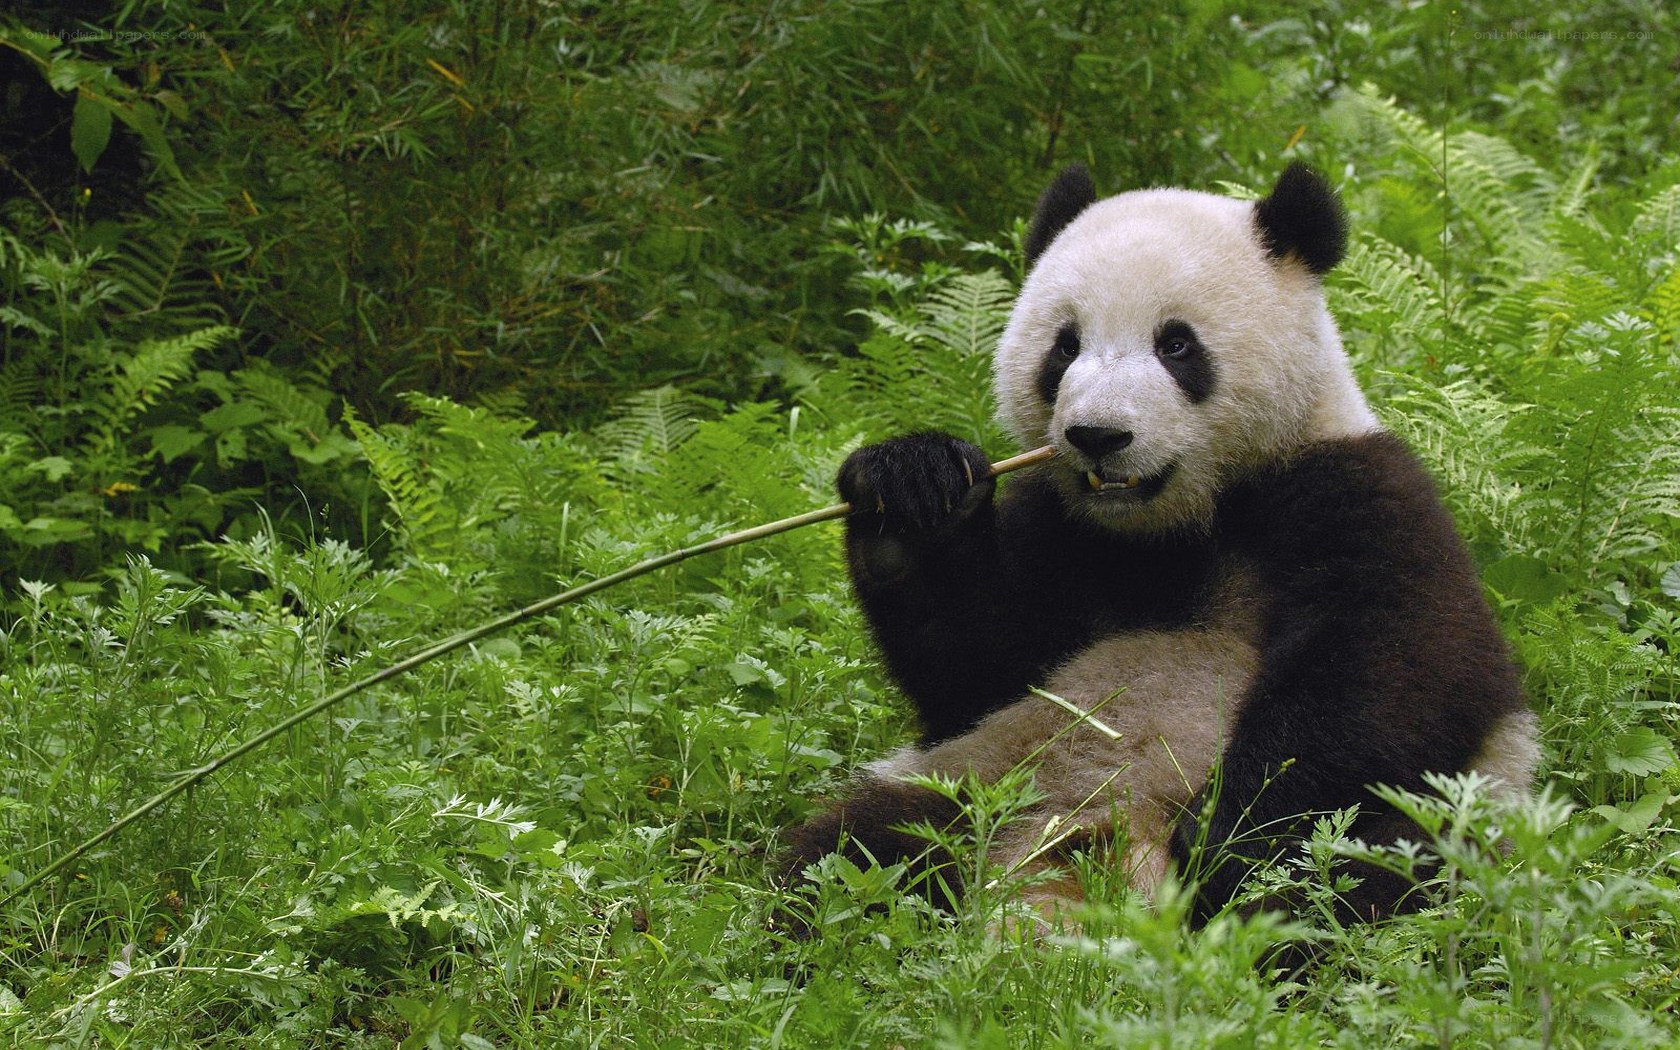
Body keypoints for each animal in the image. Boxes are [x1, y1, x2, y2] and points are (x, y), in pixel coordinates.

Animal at [778, 162, 1539, 930]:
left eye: (1176, 345)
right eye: (1064, 346)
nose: (1097, 435)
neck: (1176, 524)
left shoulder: (1357, 493)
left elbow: (1397, 673)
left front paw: (1223, 836)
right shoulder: (1062, 531)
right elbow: (977, 669)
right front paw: (911, 489)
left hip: (1433, 825)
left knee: (1351, 871)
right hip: (984, 777)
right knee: (855, 850)